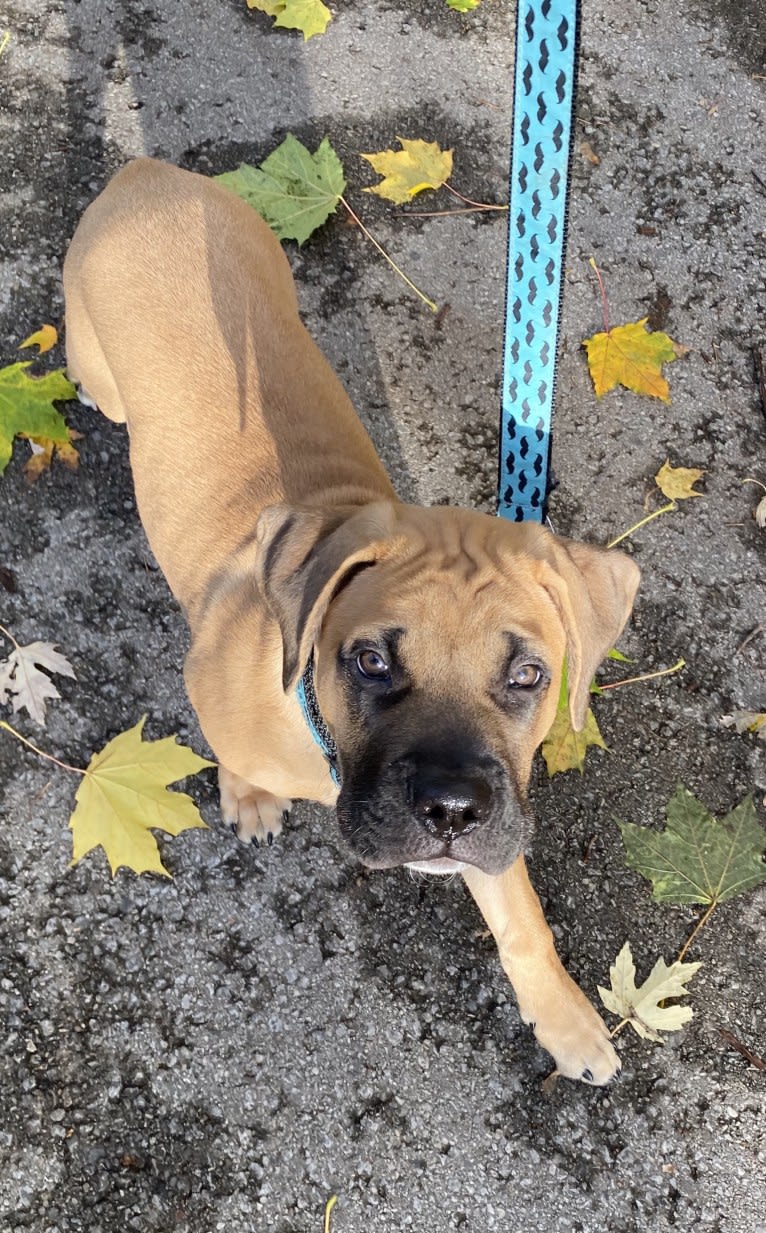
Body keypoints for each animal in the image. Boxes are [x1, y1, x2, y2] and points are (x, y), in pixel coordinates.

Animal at [62, 159, 641, 1085]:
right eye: (369, 661)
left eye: (529, 675)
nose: (451, 811)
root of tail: (147, 174)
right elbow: (231, 755)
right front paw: (249, 794)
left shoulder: (497, 830)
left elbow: (522, 921)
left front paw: (568, 1019)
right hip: (102, 363)